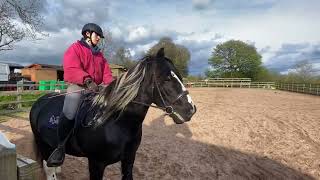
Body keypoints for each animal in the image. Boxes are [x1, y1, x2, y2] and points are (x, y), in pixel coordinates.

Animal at [30, 48, 196, 180]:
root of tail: (40, 102)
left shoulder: (128, 160)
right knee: (49, 170)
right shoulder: (96, 164)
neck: (115, 122)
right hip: (43, 145)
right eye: (167, 78)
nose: (191, 110)